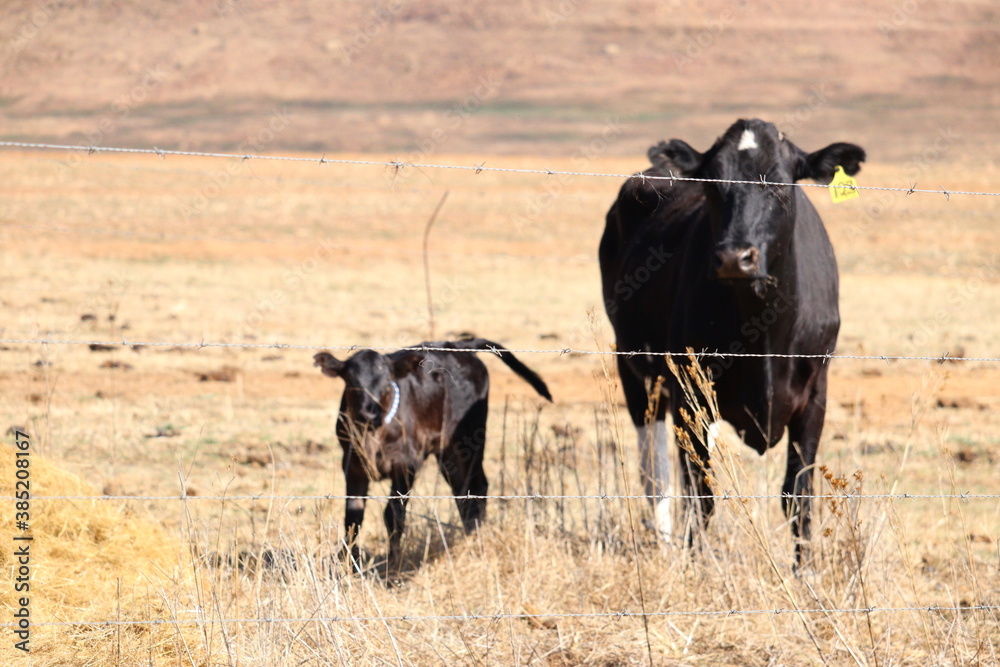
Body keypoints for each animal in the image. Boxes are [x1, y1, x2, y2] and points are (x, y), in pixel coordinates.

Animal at [312, 340, 552, 568]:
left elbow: (394, 515)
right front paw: (348, 565)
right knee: (463, 491)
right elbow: (353, 518)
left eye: (387, 382)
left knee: (476, 488)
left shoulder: (406, 466)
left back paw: (474, 537)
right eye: (352, 382)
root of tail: (459, 345)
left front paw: (393, 568)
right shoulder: (353, 467)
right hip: (448, 455)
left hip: (467, 443)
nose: (369, 414)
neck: (372, 435)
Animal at [600, 117, 868, 556]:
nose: (733, 258)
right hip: (633, 364)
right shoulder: (689, 389)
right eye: (712, 183)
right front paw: (698, 562)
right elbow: (700, 493)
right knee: (655, 472)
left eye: (779, 183)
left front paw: (805, 568)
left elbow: (798, 495)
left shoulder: (815, 393)